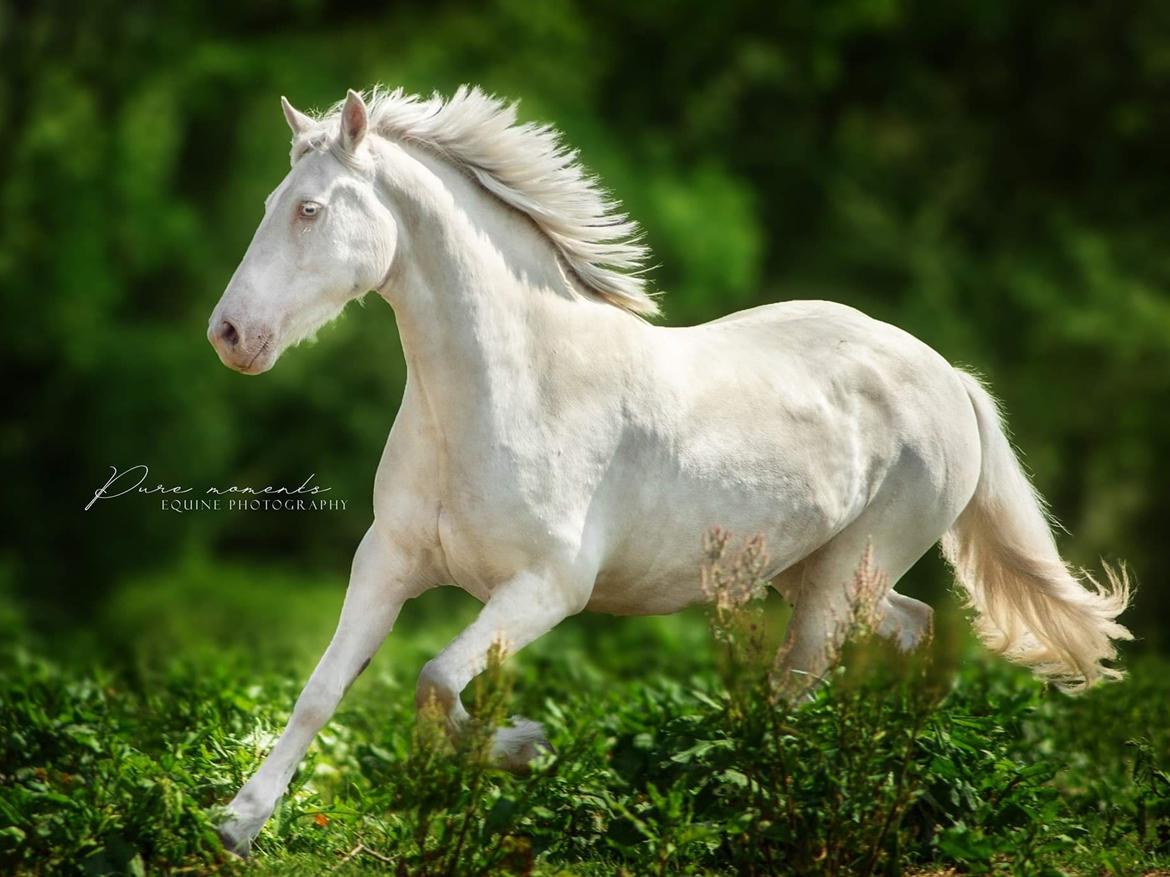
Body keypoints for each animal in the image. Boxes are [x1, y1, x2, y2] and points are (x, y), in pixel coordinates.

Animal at [210, 85, 1132, 855]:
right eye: (267, 205)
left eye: (309, 209)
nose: (229, 334)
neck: (507, 388)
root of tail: (949, 376)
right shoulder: (388, 562)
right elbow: (322, 690)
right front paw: (237, 824)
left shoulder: (546, 587)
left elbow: (435, 681)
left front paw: (525, 746)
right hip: (811, 569)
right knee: (910, 628)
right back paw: (888, 779)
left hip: (845, 574)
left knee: (791, 697)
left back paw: (782, 812)